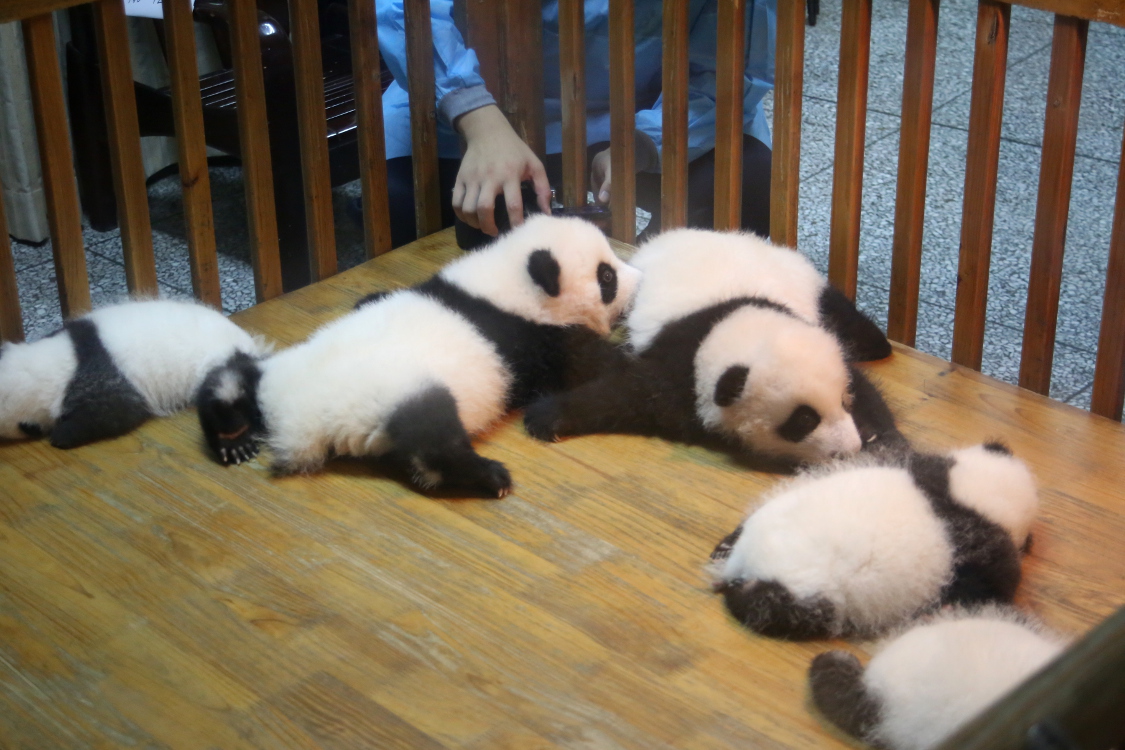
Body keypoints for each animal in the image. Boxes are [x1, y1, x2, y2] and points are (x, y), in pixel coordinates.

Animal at [196, 214, 641, 497]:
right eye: (606, 276)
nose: (638, 280)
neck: (503, 280)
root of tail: (295, 419)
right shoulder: (529, 337)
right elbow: (587, 364)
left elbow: (373, 298)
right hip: (402, 394)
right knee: (432, 442)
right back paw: (489, 476)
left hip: (276, 367)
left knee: (228, 379)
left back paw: (232, 437)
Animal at [524, 229, 895, 465]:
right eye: (804, 421)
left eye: (844, 402)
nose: (849, 448)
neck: (736, 317)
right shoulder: (682, 359)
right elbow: (625, 392)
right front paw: (547, 417)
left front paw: (879, 440)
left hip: (810, 282)